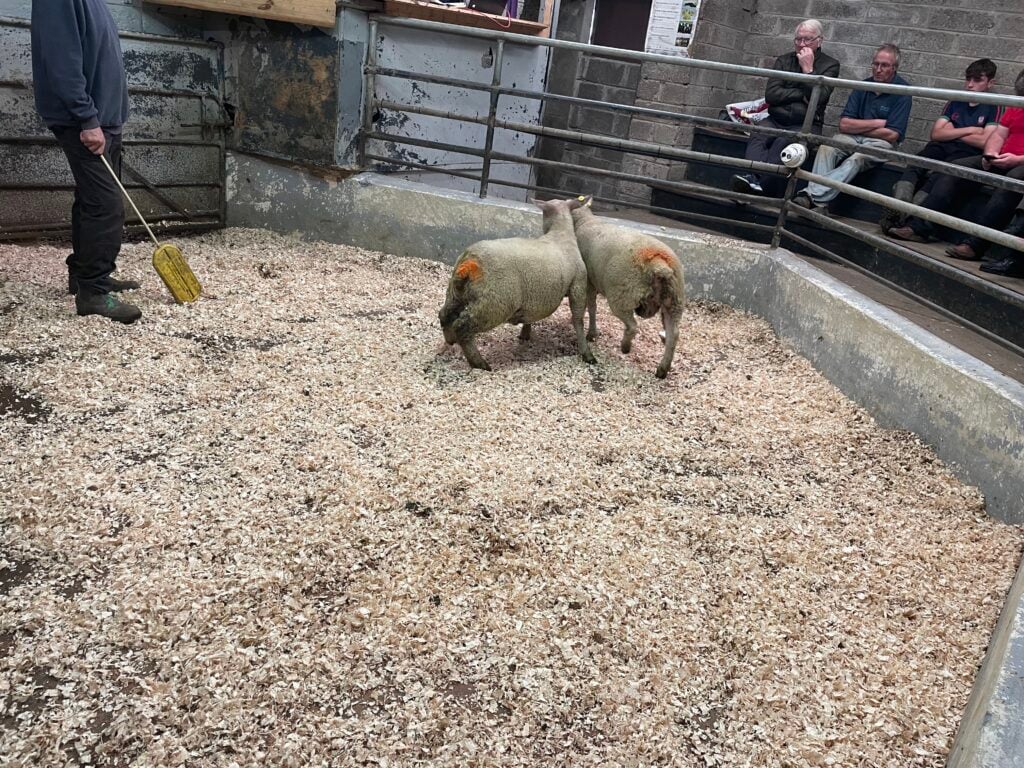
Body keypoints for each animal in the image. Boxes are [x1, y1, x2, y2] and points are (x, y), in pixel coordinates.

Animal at [438, 196, 597, 371]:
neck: (559, 234)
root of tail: (470, 263)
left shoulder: (536, 297)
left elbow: (531, 315)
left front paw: (525, 334)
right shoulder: (578, 285)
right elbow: (578, 320)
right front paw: (587, 354)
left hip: (456, 293)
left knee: (445, 315)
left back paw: (450, 340)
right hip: (495, 303)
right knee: (462, 326)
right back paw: (480, 363)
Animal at [571, 204, 685, 378]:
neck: (585, 221)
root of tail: (659, 265)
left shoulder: (589, 282)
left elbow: (592, 307)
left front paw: (591, 334)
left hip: (622, 297)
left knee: (632, 326)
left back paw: (625, 347)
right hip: (674, 301)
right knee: (674, 334)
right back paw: (662, 369)